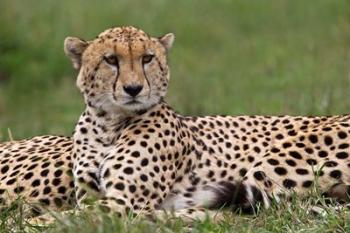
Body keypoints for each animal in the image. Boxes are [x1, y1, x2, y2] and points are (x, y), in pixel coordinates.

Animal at [0, 26, 350, 220]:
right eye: (111, 60)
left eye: (147, 58)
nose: (133, 89)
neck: (108, 124)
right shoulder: (94, 194)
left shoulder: (123, 200)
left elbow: (66, 219)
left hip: (269, 166)